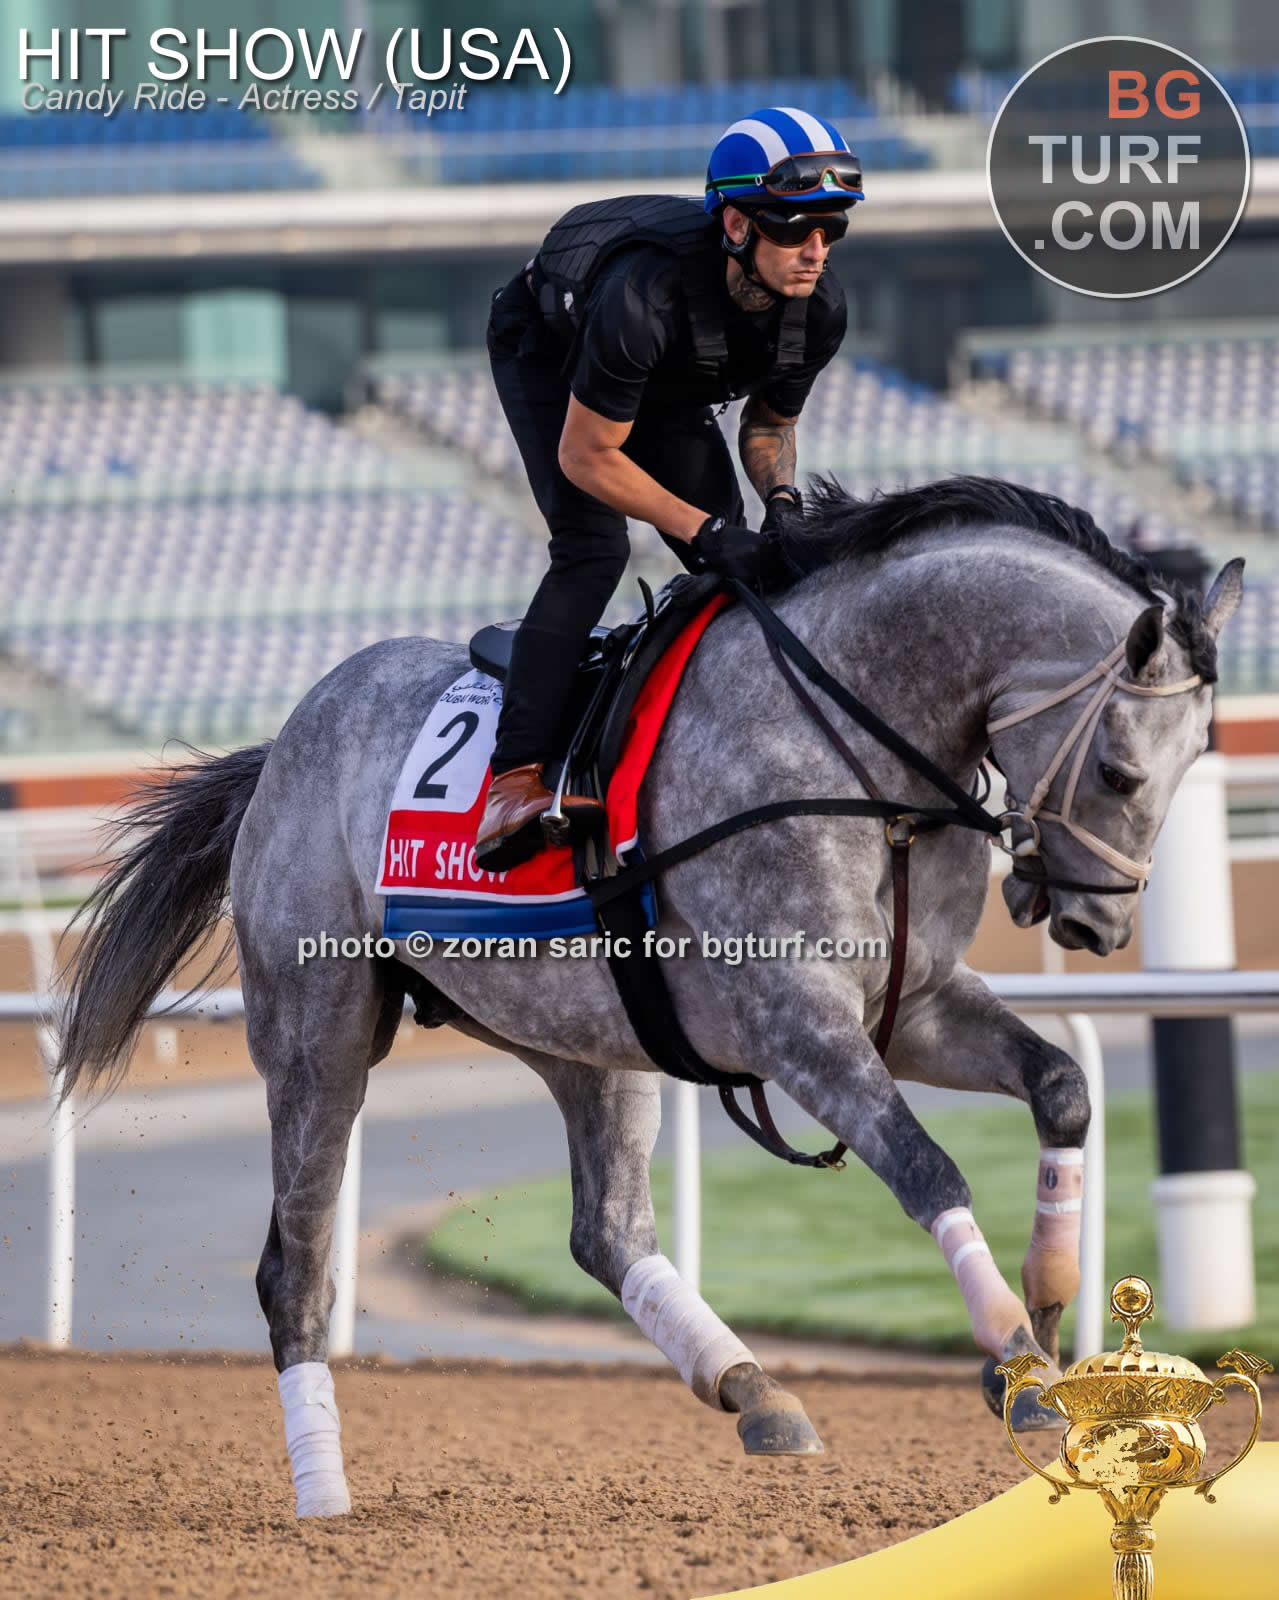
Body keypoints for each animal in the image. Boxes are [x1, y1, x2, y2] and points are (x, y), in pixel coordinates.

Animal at [54, 476, 1243, 1519]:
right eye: (1124, 773)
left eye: (1199, 758)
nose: (1098, 927)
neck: (851, 748)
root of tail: (285, 743)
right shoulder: (798, 1027)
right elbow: (927, 1168)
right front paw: (1011, 1353)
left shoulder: (913, 1006)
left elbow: (1062, 1087)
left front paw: (1049, 1299)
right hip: (319, 1029)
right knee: (293, 1263)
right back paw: (323, 1493)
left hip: (586, 1034)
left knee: (606, 1231)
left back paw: (754, 1391)